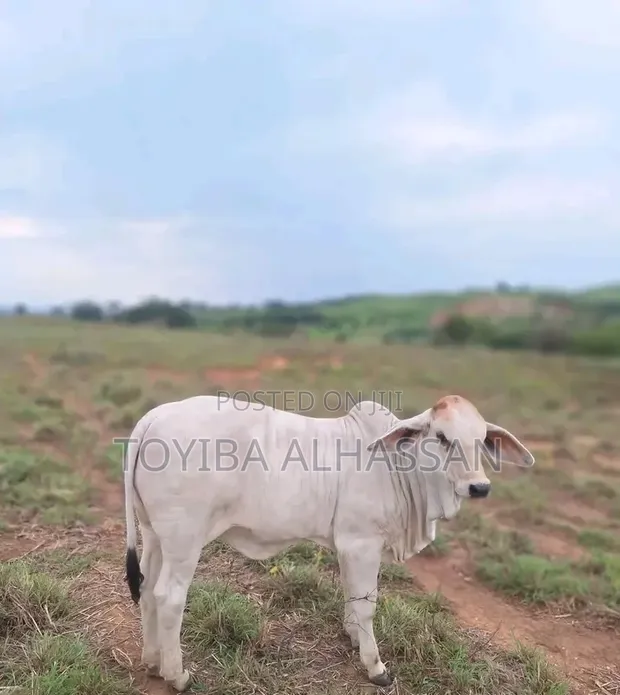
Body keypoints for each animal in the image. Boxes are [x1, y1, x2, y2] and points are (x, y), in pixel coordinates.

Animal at [123, 393, 534, 691]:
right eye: (442, 437)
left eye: (482, 440)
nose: (479, 487)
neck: (398, 466)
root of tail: (152, 418)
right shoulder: (361, 543)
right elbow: (366, 605)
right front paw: (375, 666)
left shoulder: (349, 546)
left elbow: (352, 599)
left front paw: (353, 638)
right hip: (184, 539)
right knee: (169, 597)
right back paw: (177, 675)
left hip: (154, 534)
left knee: (146, 588)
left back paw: (152, 660)